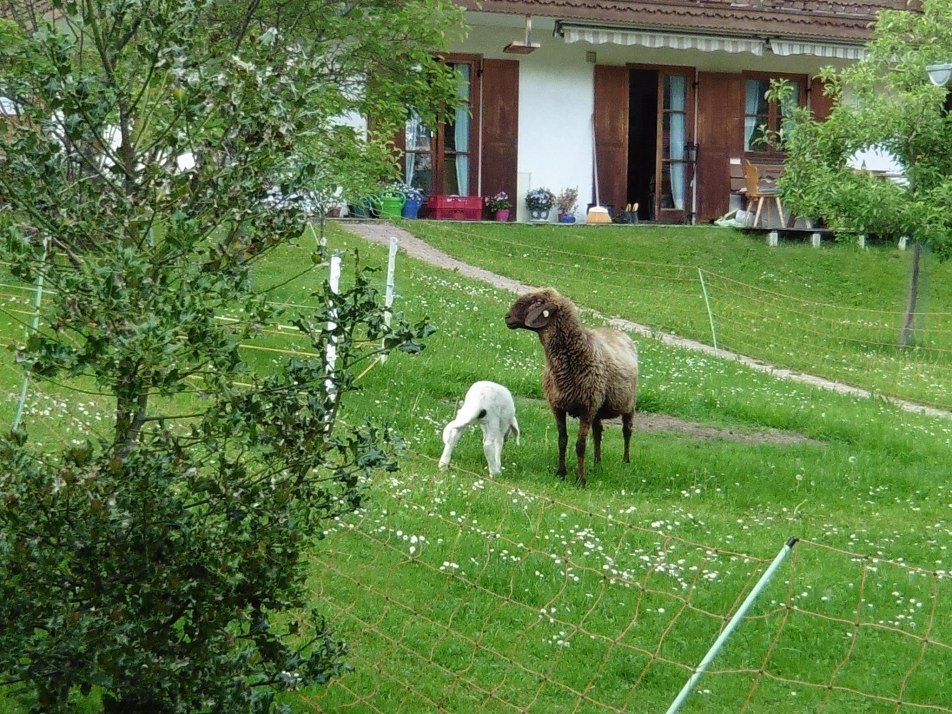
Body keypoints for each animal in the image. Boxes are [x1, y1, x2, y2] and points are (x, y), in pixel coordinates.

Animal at [506, 288, 640, 484]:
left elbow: (580, 445)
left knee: (627, 431)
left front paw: (580, 479)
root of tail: (620, 332)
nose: (507, 317)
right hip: (598, 407)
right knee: (598, 432)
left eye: (537, 302)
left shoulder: (587, 407)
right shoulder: (558, 406)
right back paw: (597, 464)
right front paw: (561, 472)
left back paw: (626, 461)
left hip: (627, 403)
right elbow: (562, 440)